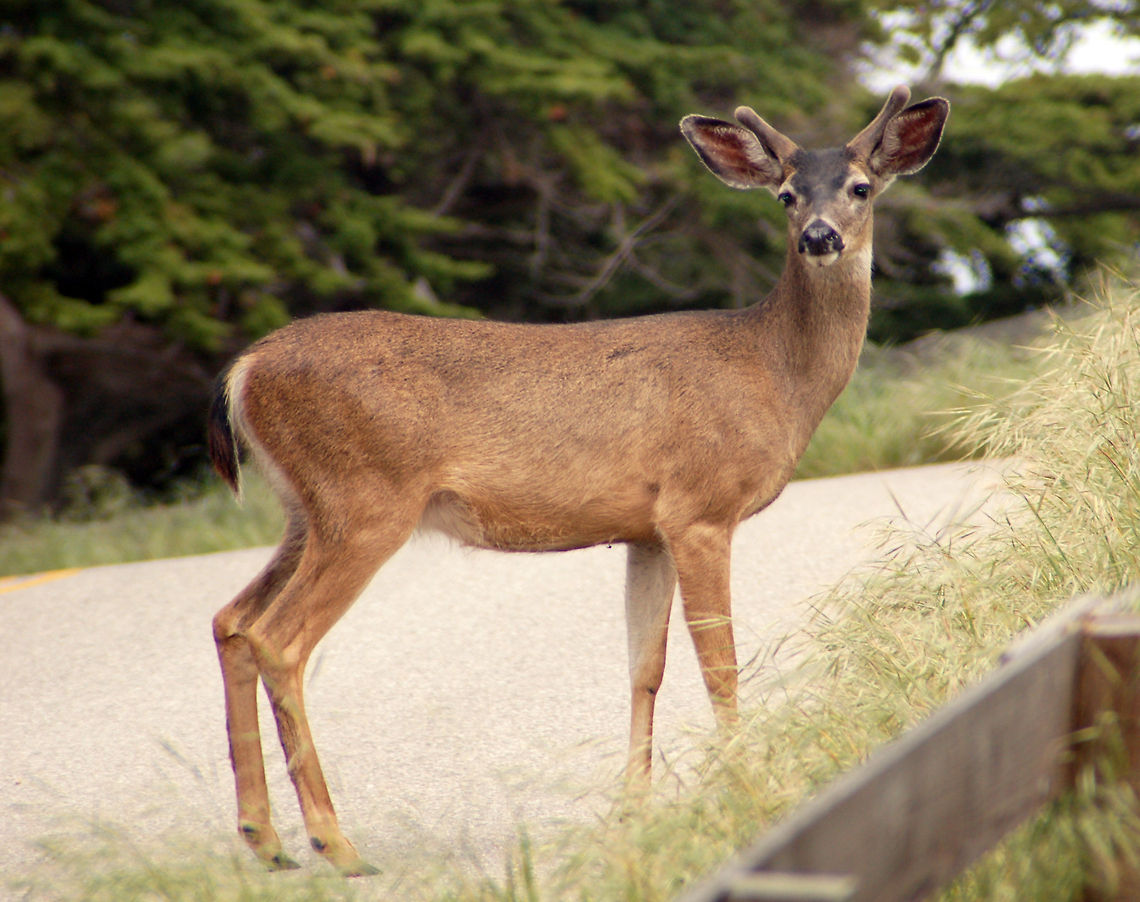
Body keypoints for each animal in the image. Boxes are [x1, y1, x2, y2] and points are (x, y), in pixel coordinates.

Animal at [208, 85, 948, 875]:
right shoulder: (701, 509)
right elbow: (719, 663)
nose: (818, 236)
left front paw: (632, 810)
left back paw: (264, 839)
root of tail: (245, 369)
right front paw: (750, 788)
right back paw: (337, 844)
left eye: (861, 187)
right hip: (365, 501)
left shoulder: (648, 530)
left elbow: (644, 666)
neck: (774, 372)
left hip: (305, 510)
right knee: (279, 639)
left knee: (232, 621)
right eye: (785, 195)